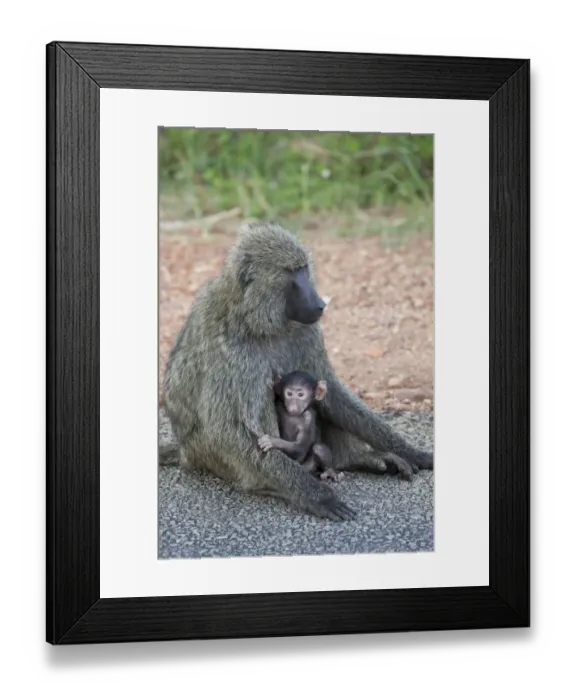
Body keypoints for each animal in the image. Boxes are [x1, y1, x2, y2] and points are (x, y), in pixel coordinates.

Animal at [162, 221, 432, 522]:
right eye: (292, 273)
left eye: (304, 269)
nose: (320, 303)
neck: (256, 318)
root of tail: (185, 452)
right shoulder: (230, 349)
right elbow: (224, 428)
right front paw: (318, 496)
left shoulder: (307, 331)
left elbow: (331, 392)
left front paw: (411, 452)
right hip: (206, 454)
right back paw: (271, 486)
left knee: (321, 394)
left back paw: (355, 460)